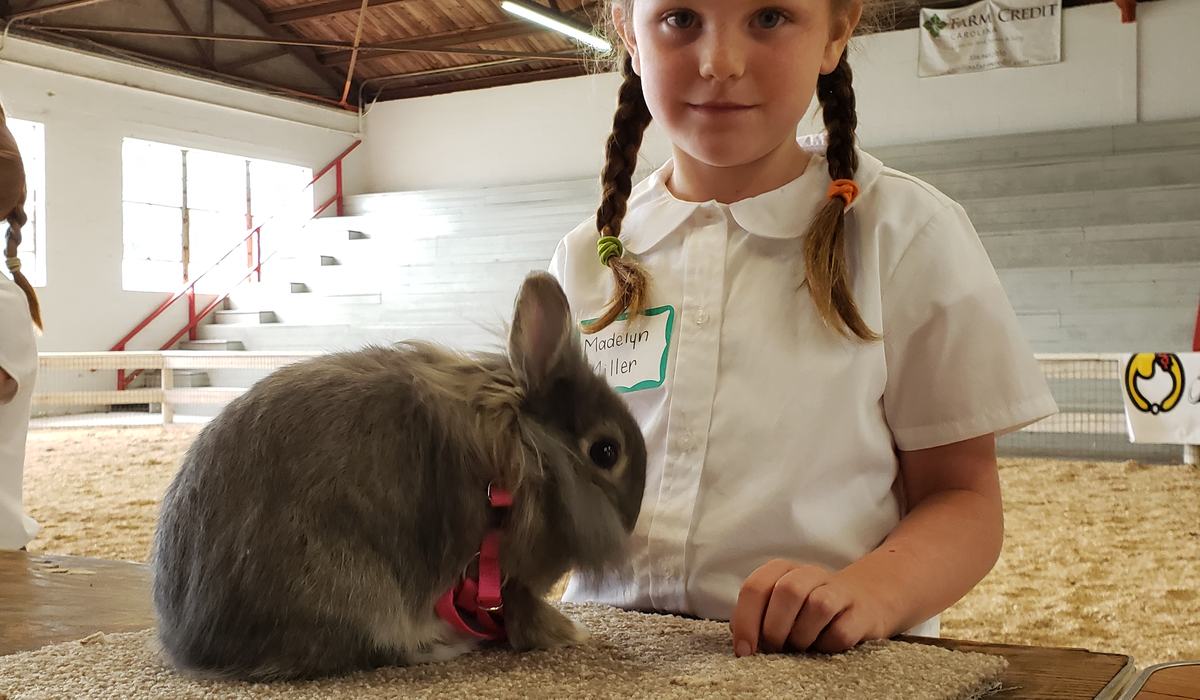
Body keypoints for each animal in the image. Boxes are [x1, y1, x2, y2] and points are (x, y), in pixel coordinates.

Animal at [150, 271, 647, 681]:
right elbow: (527, 616)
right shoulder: (508, 581)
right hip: (358, 588)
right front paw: (572, 634)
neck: (533, 455)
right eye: (606, 451)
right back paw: (444, 644)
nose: (632, 520)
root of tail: (196, 647)